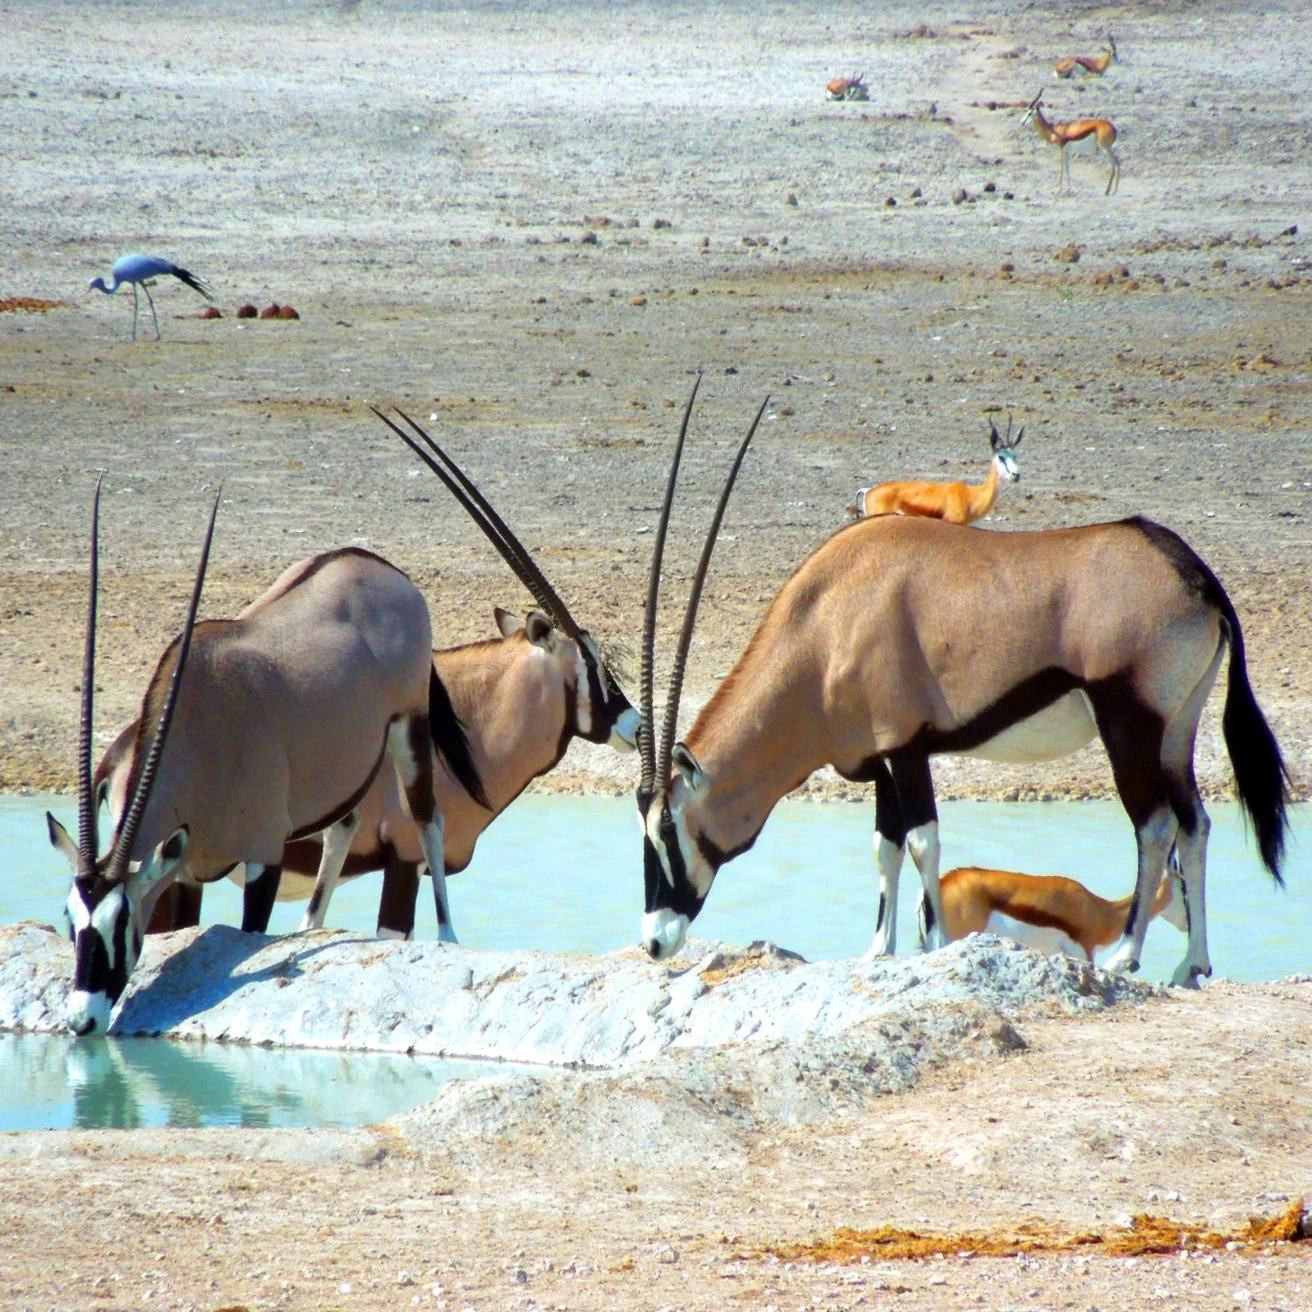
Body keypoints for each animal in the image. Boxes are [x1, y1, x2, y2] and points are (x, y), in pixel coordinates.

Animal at [51, 488, 474, 1028]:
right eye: (72, 919)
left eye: (120, 920)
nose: (81, 1020)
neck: (203, 736)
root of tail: (378, 567)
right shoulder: (184, 872)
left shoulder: (263, 856)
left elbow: (250, 932)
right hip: (348, 767)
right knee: (344, 826)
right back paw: (309, 929)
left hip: (410, 724)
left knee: (428, 820)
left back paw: (447, 936)